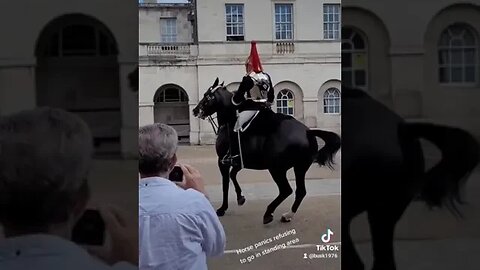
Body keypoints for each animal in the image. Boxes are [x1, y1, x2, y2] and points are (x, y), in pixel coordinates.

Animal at [191, 77, 342, 224]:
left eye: (206, 95)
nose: (195, 111)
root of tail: (307, 132)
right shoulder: (240, 162)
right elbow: (233, 175)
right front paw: (240, 197)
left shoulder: (222, 161)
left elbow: (225, 183)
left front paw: (222, 208)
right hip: (299, 167)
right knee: (300, 192)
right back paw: (288, 215)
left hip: (277, 169)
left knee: (286, 190)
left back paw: (269, 213)